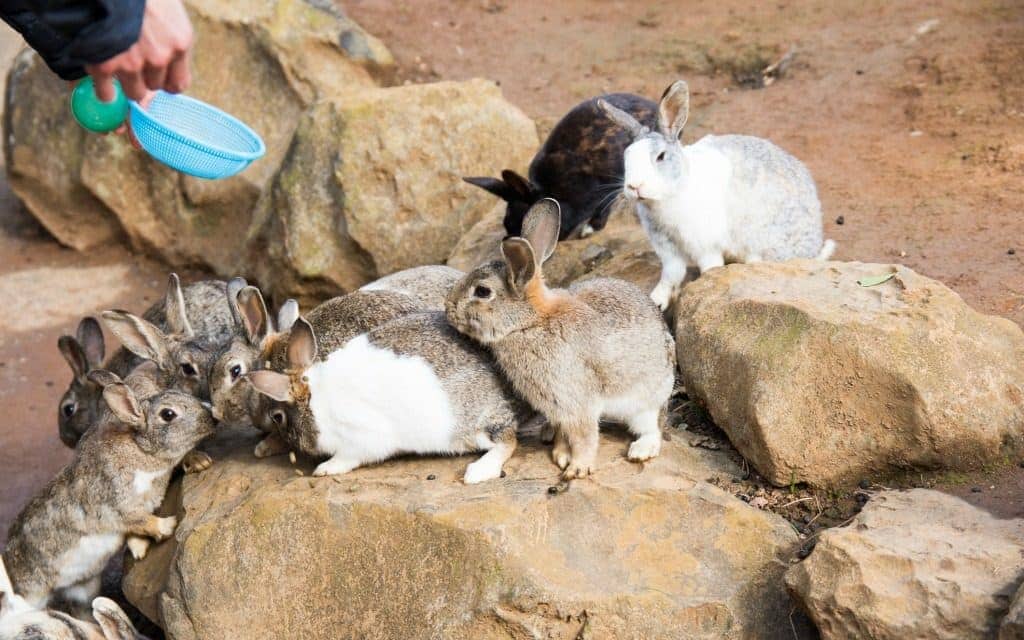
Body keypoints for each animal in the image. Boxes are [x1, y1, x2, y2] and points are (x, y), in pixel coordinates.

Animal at [2, 373, 215, 615]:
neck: (142, 451)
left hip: (84, 587)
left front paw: (139, 550)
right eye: (168, 414)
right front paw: (168, 526)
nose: (212, 416)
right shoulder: (120, 505)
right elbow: (143, 521)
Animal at [245, 310, 530, 484]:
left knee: (508, 441)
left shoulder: (360, 437)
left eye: (278, 417)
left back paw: (477, 472)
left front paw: (324, 469)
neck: (317, 400)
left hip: (476, 426)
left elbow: (349, 457)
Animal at [445, 199, 676, 479]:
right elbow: (566, 436)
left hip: (646, 400)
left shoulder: (575, 401)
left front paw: (577, 469)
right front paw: (561, 455)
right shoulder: (558, 407)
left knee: (652, 427)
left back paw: (641, 450)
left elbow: (585, 437)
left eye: (482, 291)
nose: (447, 307)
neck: (530, 322)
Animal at [464, 92, 658, 239]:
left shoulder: (602, 189)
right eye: (506, 224)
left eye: (525, 224)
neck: (552, 193)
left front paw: (588, 230)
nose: (510, 240)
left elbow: (604, 206)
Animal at [597, 80, 835, 310]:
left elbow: (709, 268)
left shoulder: (706, 246)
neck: (673, 191)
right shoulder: (667, 248)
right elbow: (671, 275)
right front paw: (657, 301)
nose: (634, 186)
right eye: (626, 156)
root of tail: (813, 246)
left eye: (661, 156)